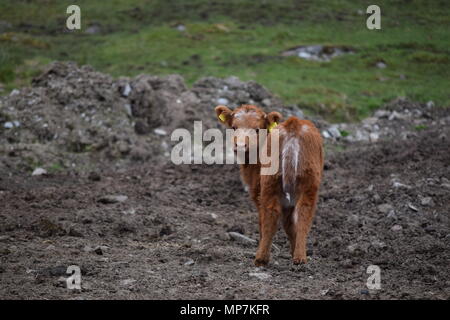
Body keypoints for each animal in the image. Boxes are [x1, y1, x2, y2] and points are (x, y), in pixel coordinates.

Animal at [215, 104, 324, 264]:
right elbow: (290, 225)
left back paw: (261, 259)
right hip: (307, 183)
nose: (240, 146)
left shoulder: (257, 192)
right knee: (302, 214)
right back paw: (299, 257)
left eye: (257, 129)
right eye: (234, 127)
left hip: (270, 184)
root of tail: (293, 124)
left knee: (271, 214)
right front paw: (292, 251)